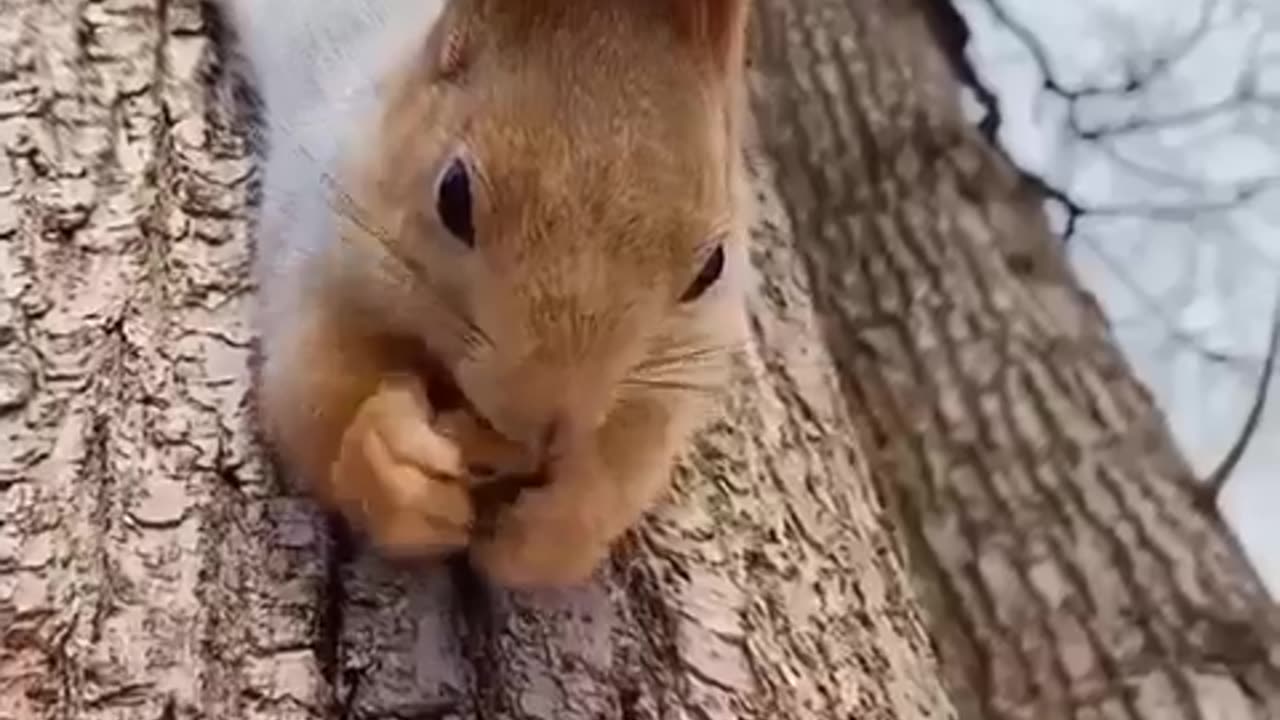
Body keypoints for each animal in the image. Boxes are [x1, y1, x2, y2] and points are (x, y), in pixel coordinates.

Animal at [222, 0, 754, 589]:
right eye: (452, 195)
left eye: (712, 268)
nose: (545, 424)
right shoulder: (321, 229)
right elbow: (311, 395)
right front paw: (394, 468)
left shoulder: (687, 363)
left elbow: (628, 466)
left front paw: (549, 530)